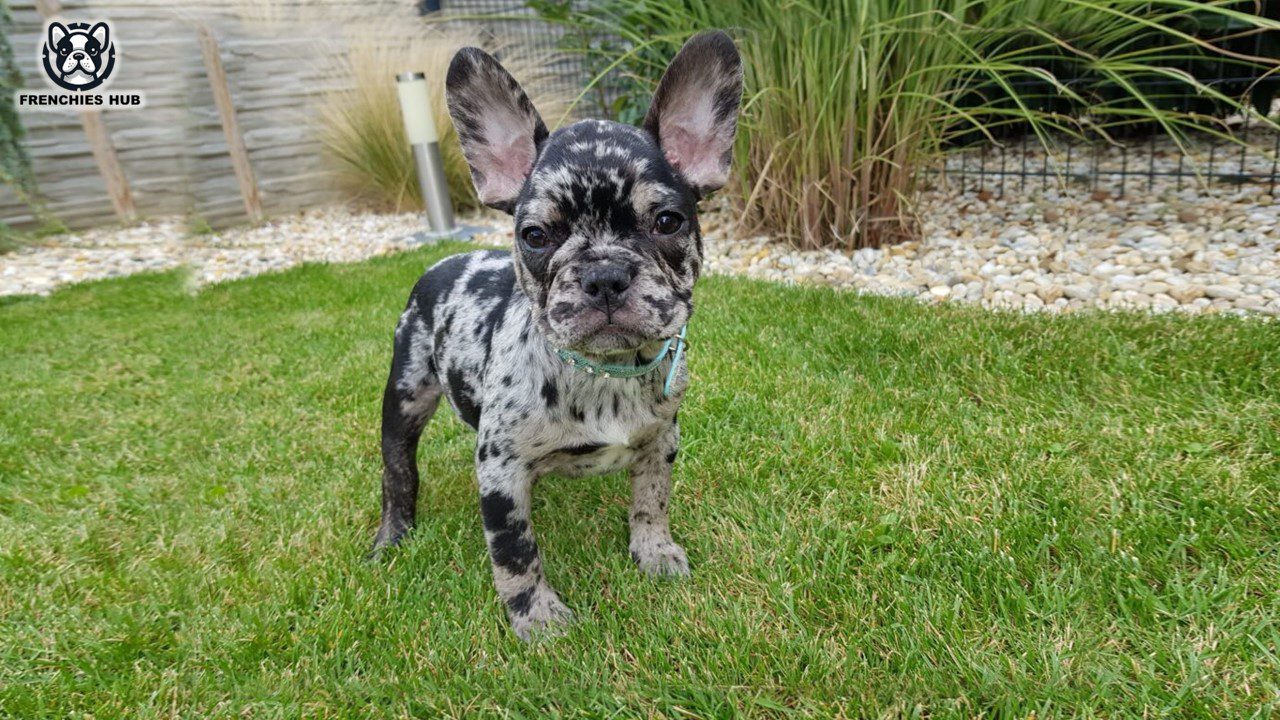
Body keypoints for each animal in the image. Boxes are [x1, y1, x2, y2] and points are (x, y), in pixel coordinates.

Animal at [371, 30, 747, 635]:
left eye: (668, 221)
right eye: (535, 235)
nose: (604, 275)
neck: (605, 372)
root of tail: (441, 261)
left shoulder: (661, 441)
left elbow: (652, 500)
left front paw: (654, 550)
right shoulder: (500, 473)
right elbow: (514, 549)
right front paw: (537, 616)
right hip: (405, 397)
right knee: (398, 471)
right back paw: (392, 535)